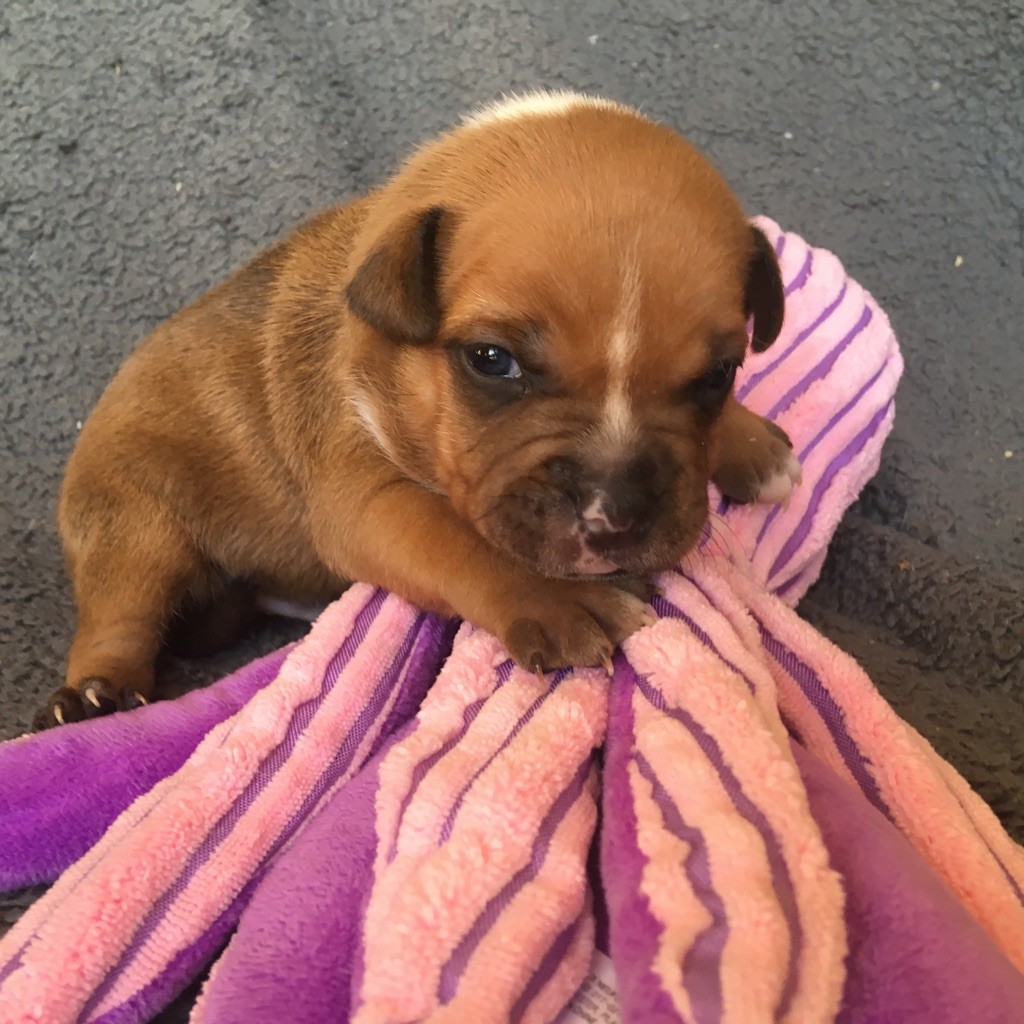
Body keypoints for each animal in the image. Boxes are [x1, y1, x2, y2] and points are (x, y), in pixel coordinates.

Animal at [38, 90, 801, 729]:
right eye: (491, 360)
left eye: (719, 375)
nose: (615, 516)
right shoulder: (365, 497)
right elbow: (456, 538)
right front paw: (559, 598)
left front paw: (752, 444)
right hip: (131, 521)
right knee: (120, 609)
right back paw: (96, 693)